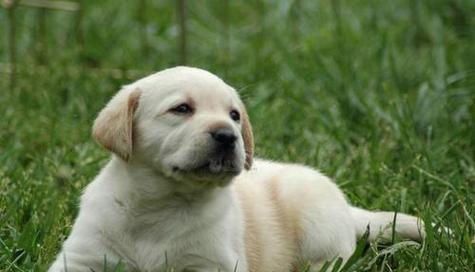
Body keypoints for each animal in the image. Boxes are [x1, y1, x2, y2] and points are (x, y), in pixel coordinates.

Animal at [50, 66, 426, 272]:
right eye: (181, 108)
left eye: (234, 115)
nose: (227, 136)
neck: (161, 204)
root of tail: (349, 211)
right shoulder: (82, 256)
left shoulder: (211, 262)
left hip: (315, 219)